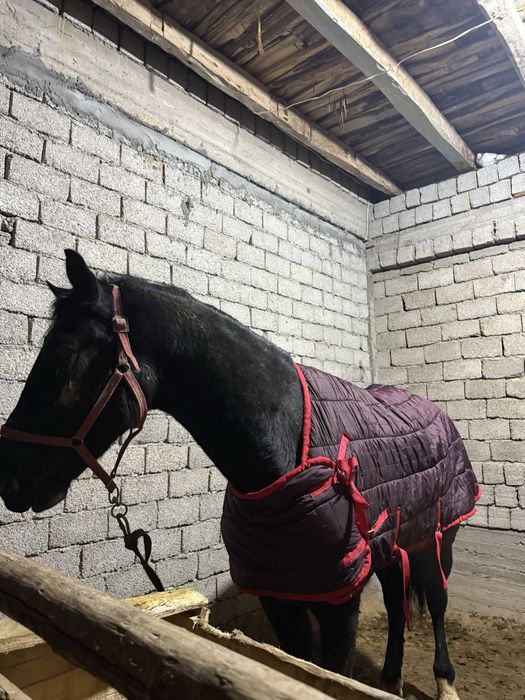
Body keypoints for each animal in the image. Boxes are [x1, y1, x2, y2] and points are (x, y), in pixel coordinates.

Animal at [0, 249, 478, 700]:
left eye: (62, 361)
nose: (9, 480)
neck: (285, 449)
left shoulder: (339, 605)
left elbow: (333, 675)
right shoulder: (279, 598)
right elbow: (299, 665)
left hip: (437, 540)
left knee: (435, 603)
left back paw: (445, 683)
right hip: (396, 544)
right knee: (398, 605)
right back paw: (391, 680)